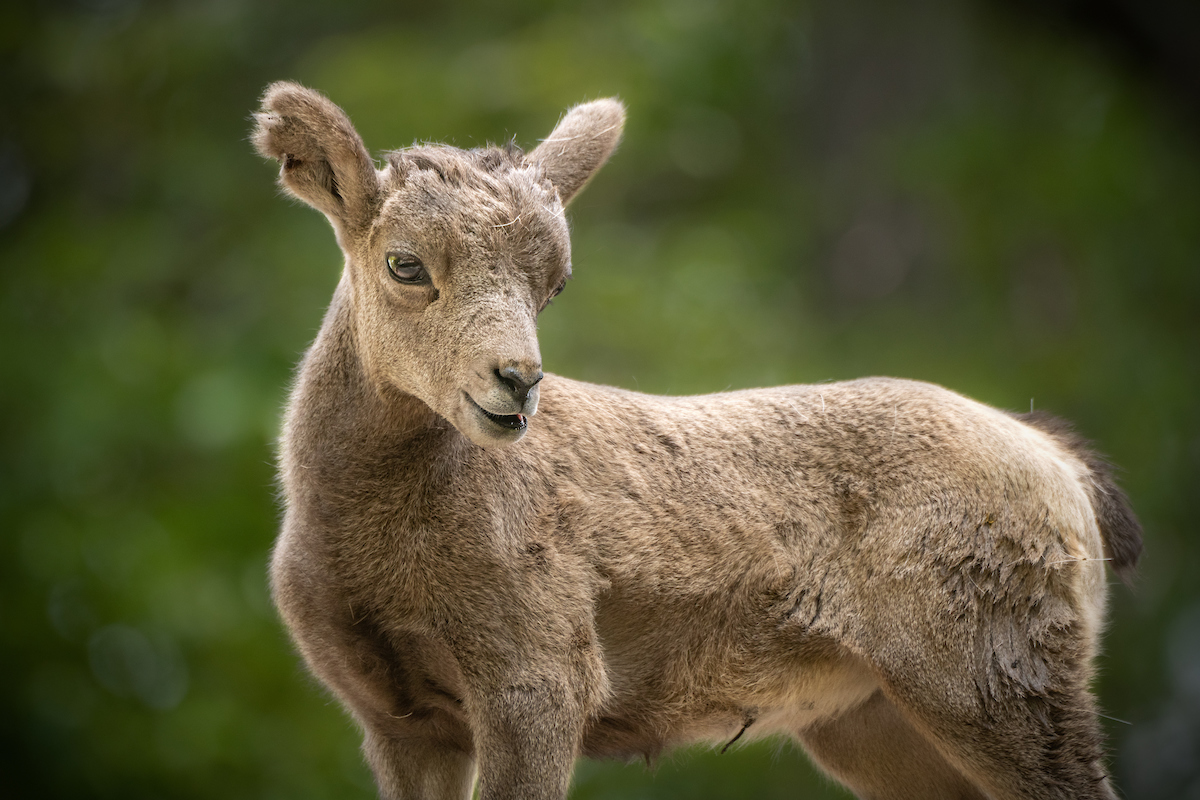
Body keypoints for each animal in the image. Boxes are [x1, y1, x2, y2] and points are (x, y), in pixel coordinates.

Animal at [253, 81, 1142, 800]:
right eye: (405, 265)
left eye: (555, 283)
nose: (517, 381)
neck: (371, 561)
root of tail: (1068, 473)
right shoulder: (398, 716)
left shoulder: (542, 676)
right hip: (874, 720)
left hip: (998, 674)